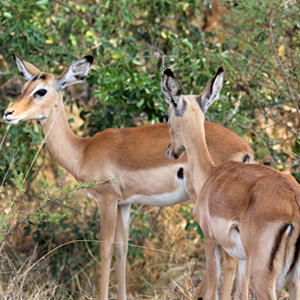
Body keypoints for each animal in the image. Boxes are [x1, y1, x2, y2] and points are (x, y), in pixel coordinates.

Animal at [3, 54, 254, 300]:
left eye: (41, 91)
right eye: (24, 87)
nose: (8, 113)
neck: (83, 151)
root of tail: (246, 149)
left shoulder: (106, 199)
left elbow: (105, 249)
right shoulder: (124, 204)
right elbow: (122, 249)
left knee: (230, 257)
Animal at [162, 68, 300, 300]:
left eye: (168, 116)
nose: (170, 151)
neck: (210, 175)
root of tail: (293, 204)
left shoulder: (211, 241)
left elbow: (212, 289)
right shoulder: (242, 259)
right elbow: (240, 293)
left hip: (264, 277)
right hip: (293, 280)